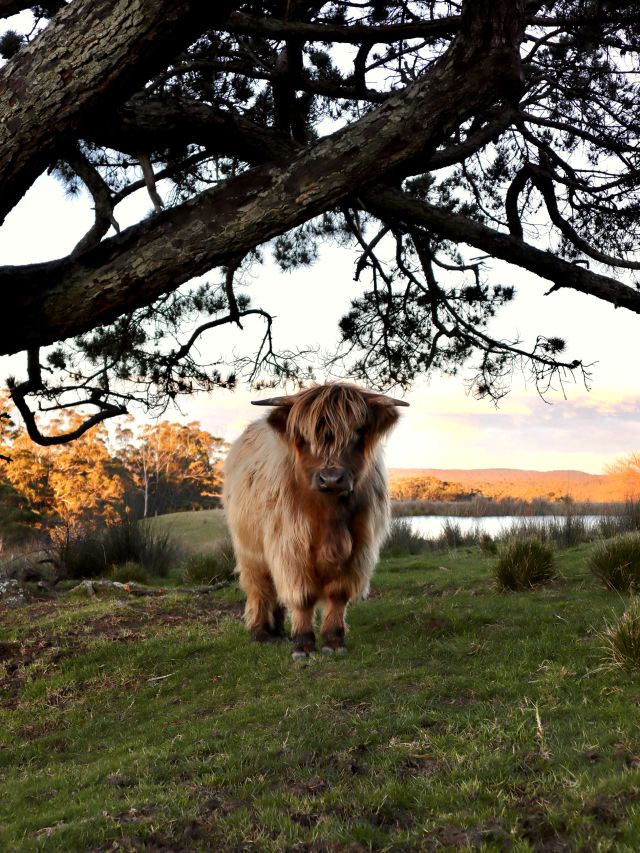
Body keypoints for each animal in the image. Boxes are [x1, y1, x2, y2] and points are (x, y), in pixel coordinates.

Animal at [223, 383, 408, 659]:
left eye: (358, 432)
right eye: (304, 436)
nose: (331, 479)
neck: (330, 517)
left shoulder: (359, 549)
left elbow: (338, 595)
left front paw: (334, 641)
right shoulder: (290, 548)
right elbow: (302, 596)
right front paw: (303, 644)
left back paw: (279, 632)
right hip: (250, 551)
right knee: (261, 588)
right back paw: (262, 633)